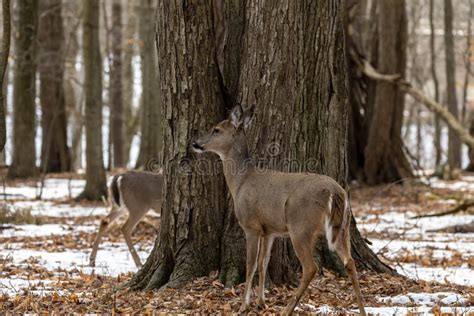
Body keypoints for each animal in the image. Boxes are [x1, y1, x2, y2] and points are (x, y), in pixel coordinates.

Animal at [193, 105, 366, 314]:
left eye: (216, 129)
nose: (195, 143)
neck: (241, 181)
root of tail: (335, 192)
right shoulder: (270, 231)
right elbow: (263, 263)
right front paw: (261, 303)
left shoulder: (251, 225)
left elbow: (251, 265)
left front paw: (244, 305)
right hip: (343, 227)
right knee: (350, 262)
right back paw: (363, 310)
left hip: (300, 226)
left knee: (311, 268)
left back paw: (287, 310)